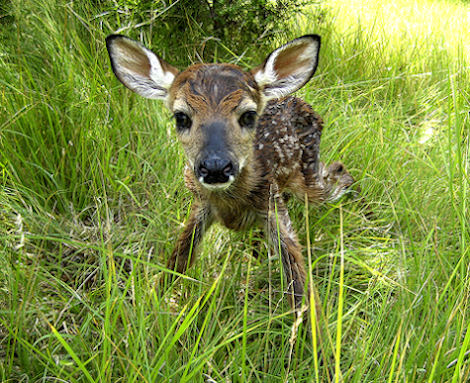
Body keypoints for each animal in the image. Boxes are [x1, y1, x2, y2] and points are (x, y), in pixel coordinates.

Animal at [106, 33, 354, 316]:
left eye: (248, 115)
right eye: (181, 117)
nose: (215, 167)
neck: (231, 204)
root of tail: (299, 100)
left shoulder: (271, 203)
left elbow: (299, 282)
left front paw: (313, 326)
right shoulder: (202, 205)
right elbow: (179, 259)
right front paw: (150, 303)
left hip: (308, 174)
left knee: (336, 173)